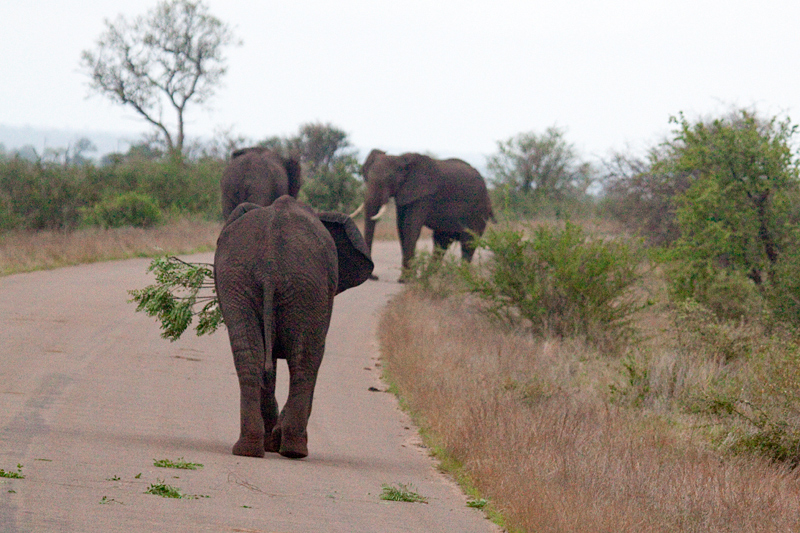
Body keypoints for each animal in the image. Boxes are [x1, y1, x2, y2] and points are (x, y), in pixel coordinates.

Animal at [212, 195, 376, 458]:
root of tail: (270, 264)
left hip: (241, 280)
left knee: (250, 355)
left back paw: (249, 449)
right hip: (306, 287)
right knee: (306, 360)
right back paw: (293, 449)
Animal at [356, 149, 494, 278]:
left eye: (389, 179)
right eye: (366, 178)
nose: (374, 277)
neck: (400, 159)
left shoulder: (424, 195)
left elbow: (410, 227)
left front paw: (405, 280)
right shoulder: (405, 194)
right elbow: (401, 228)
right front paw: (409, 277)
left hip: (479, 211)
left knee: (467, 242)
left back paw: (460, 277)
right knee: (441, 241)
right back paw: (428, 277)